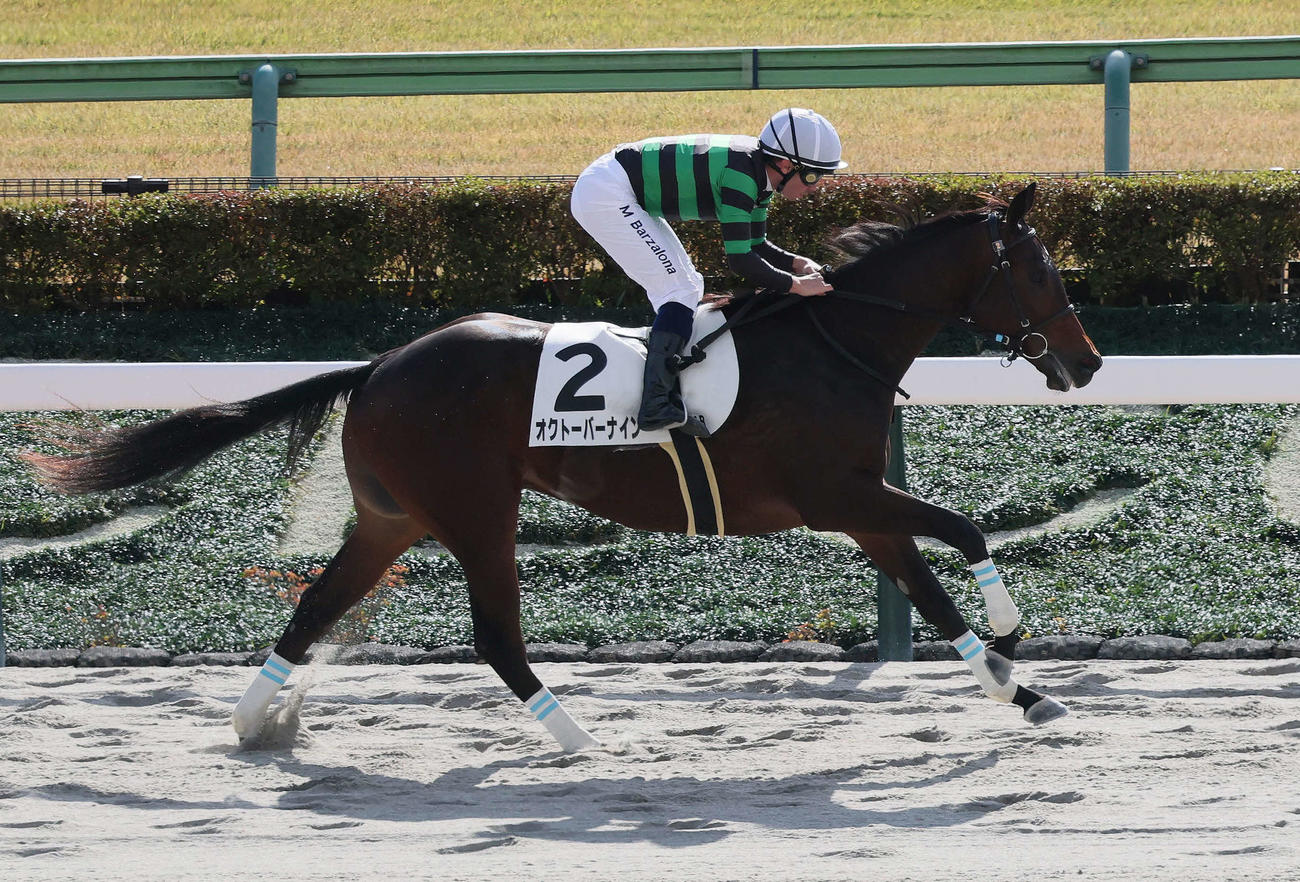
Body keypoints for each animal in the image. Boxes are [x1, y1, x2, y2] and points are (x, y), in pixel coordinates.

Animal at [24, 182, 1102, 752]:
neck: (834, 341)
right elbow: (962, 531)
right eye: (1039, 270)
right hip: (477, 512)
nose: (1087, 361)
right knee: (492, 636)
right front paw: (1015, 636)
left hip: (391, 517)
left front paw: (1019, 687)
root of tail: (379, 365)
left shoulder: (863, 507)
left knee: (317, 604)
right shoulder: (840, 493)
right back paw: (575, 735)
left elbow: (932, 594)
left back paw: (256, 720)